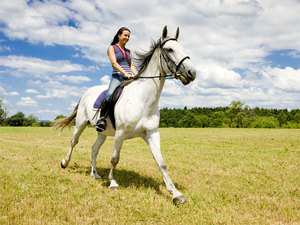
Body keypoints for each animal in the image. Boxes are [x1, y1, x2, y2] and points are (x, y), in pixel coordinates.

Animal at [52, 25, 197, 204]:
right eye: (170, 49)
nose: (192, 73)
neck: (143, 99)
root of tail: (86, 93)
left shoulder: (151, 134)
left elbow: (161, 162)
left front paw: (176, 193)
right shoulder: (120, 134)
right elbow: (115, 158)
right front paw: (113, 183)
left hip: (102, 132)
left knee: (94, 149)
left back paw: (95, 174)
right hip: (80, 124)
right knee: (74, 142)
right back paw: (64, 163)